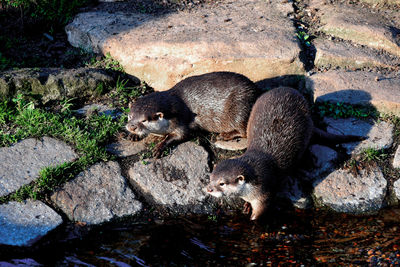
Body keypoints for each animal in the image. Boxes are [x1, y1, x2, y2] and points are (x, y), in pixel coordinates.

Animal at [126, 72, 260, 158]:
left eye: (144, 120)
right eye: (130, 116)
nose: (132, 126)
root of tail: (256, 92)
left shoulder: (180, 121)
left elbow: (180, 135)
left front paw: (159, 147)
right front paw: (133, 135)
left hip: (240, 108)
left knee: (243, 130)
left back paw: (224, 135)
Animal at [206, 88, 366, 222]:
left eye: (222, 183)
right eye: (210, 178)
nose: (209, 189)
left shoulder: (264, 192)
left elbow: (261, 211)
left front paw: (252, 218)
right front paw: (246, 206)